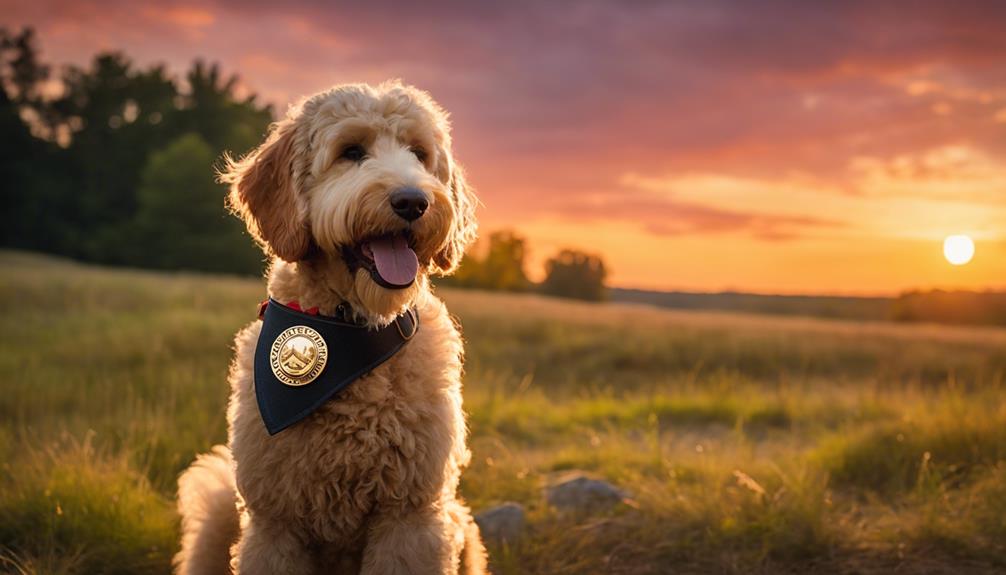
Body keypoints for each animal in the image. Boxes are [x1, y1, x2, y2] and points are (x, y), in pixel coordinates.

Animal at [173, 81, 486, 575]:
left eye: (419, 154)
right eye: (351, 151)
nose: (413, 201)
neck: (353, 331)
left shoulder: (410, 516)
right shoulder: (275, 522)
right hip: (222, 509)